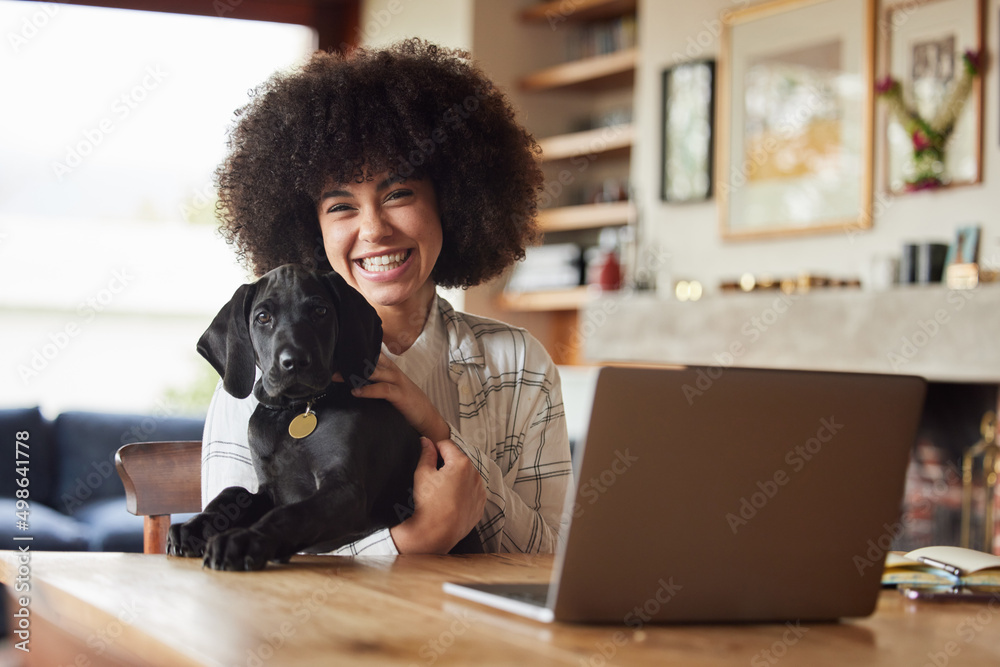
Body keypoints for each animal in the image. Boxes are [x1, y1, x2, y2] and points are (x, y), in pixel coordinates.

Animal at [170, 264, 482, 568]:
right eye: (263, 317)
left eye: (320, 311)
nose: (294, 362)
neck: (296, 411)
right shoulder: (269, 489)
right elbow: (235, 493)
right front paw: (195, 526)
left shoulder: (346, 490)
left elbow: (292, 514)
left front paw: (246, 539)